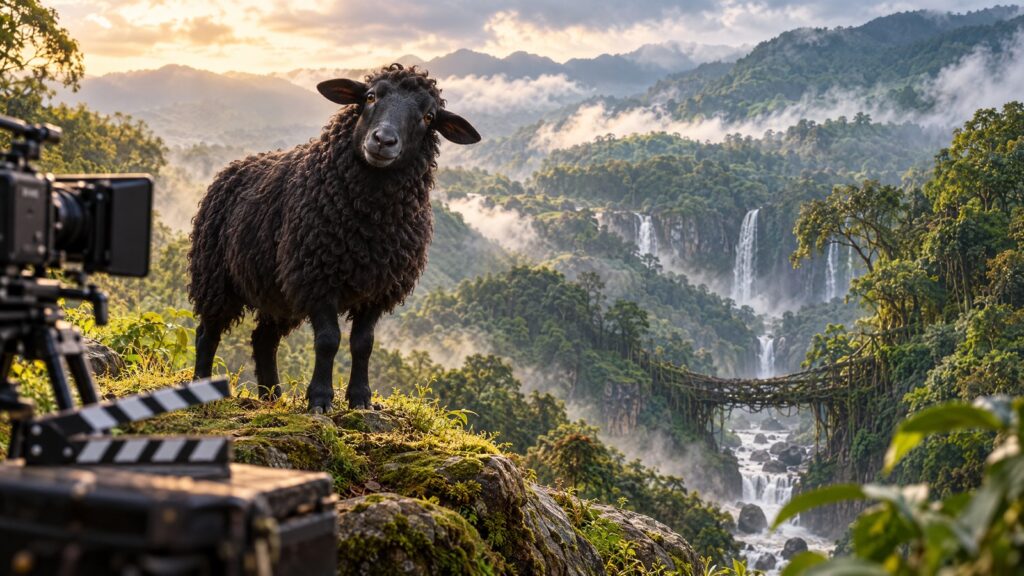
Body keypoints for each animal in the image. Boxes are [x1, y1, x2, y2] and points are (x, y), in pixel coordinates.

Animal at [188, 64, 480, 412]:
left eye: (428, 117)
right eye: (370, 97)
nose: (383, 140)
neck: (368, 224)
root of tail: (235, 165)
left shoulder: (377, 289)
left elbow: (363, 343)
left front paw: (361, 398)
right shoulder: (317, 279)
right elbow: (328, 340)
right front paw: (320, 399)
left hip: (279, 292)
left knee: (263, 340)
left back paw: (272, 396)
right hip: (215, 276)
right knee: (208, 332)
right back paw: (201, 388)